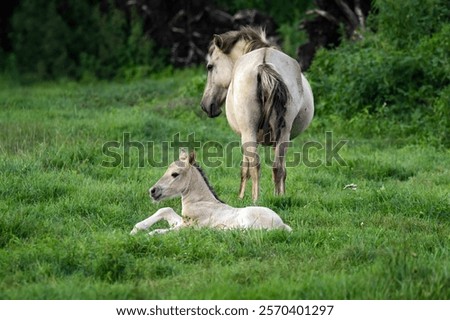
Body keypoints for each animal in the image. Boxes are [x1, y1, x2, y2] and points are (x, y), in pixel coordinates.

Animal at [130, 149, 292, 236]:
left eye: (175, 174)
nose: (153, 191)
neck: (201, 202)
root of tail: (283, 225)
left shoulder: (187, 227)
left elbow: (159, 231)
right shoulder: (182, 221)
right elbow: (165, 209)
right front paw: (135, 230)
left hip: (248, 220)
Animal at [200, 26, 312, 202]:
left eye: (210, 66)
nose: (206, 105)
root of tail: (264, 63)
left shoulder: (243, 135)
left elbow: (244, 168)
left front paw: (240, 196)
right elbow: (282, 170)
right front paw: (282, 193)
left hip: (249, 131)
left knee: (255, 165)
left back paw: (255, 199)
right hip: (283, 133)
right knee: (277, 167)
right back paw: (278, 198)